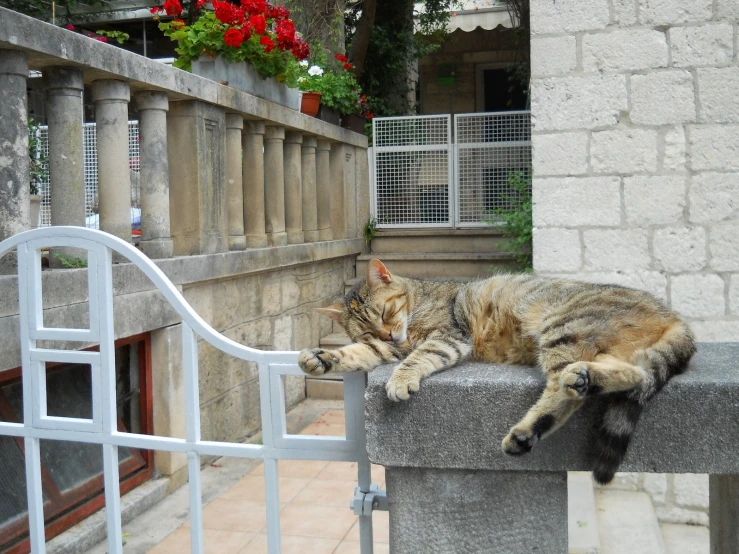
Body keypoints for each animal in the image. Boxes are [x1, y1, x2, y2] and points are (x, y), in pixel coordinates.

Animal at [298, 258, 696, 478]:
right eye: (366, 328)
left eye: (384, 312)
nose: (386, 332)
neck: (418, 303)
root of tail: (672, 315)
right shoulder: (388, 346)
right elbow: (357, 352)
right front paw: (320, 358)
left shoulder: (448, 336)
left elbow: (419, 356)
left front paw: (402, 379)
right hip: (607, 352)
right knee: (635, 376)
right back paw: (581, 384)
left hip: (562, 329)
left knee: (563, 391)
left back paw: (528, 429)